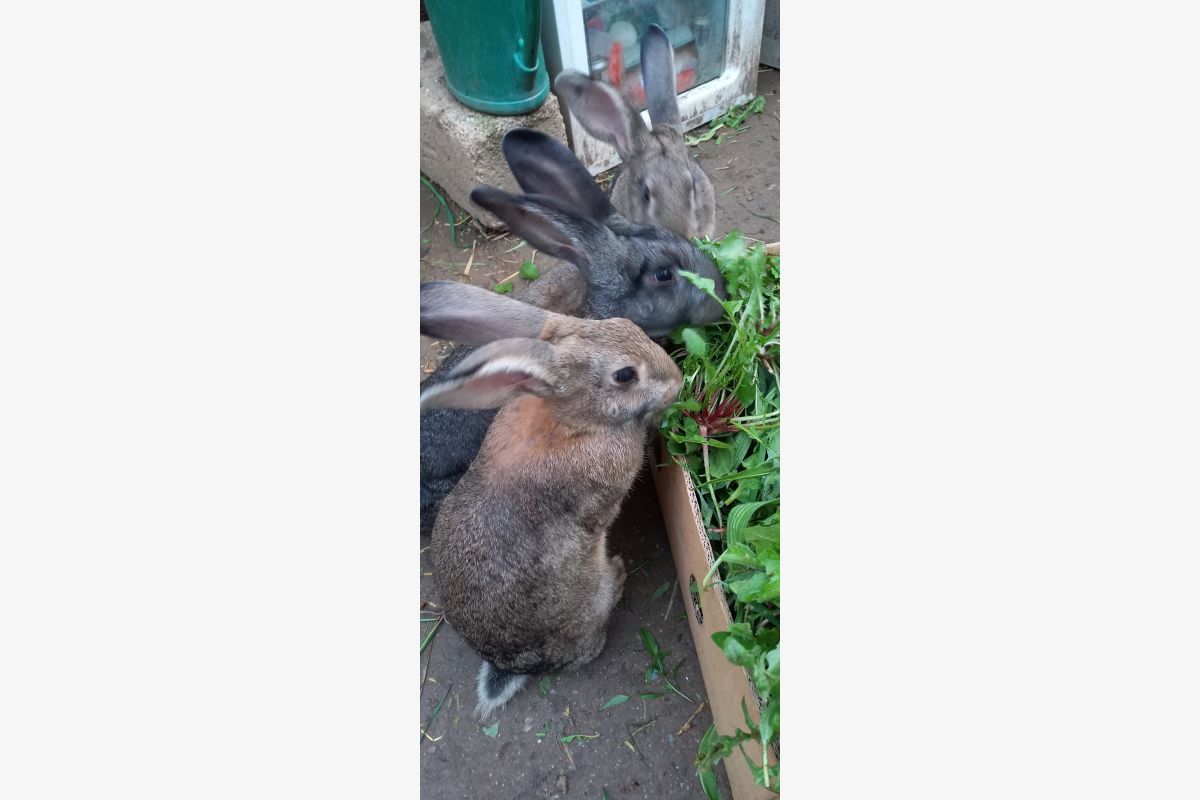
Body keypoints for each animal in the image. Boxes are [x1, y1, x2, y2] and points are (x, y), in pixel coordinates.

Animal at [420, 280, 684, 718]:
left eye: (627, 324)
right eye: (625, 375)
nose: (678, 380)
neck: (573, 421)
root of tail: (512, 664)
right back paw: (618, 574)